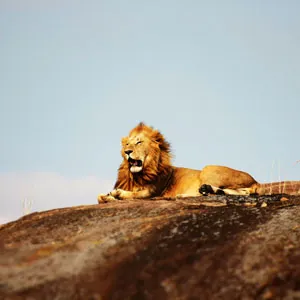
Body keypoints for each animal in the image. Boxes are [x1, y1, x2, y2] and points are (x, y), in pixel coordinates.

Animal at [97, 122, 258, 204]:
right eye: (126, 144)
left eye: (139, 142)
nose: (127, 151)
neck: (138, 176)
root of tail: (255, 180)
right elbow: (100, 197)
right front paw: (108, 196)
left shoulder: (153, 191)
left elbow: (135, 194)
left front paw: (117, 193)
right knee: (243, 192)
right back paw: (203, 191)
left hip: (208, 168)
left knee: (244, 192)